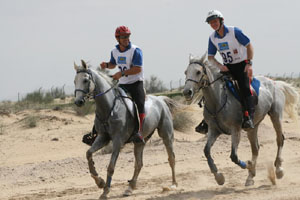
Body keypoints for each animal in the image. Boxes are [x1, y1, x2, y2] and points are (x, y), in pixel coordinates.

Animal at [182, 52, 298, 186]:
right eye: (186, 72)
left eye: (198, 72)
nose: (187, 92)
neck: (217, 100)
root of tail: (275, 83)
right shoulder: (214, 130)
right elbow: (206, 151)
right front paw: (219, 177)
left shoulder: (235, 129)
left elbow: (234, 156)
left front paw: (248, 166)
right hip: (253, 127)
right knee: (256, 148)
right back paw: (250, 178)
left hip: (276, 116)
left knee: (280, 139)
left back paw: (278, 169)